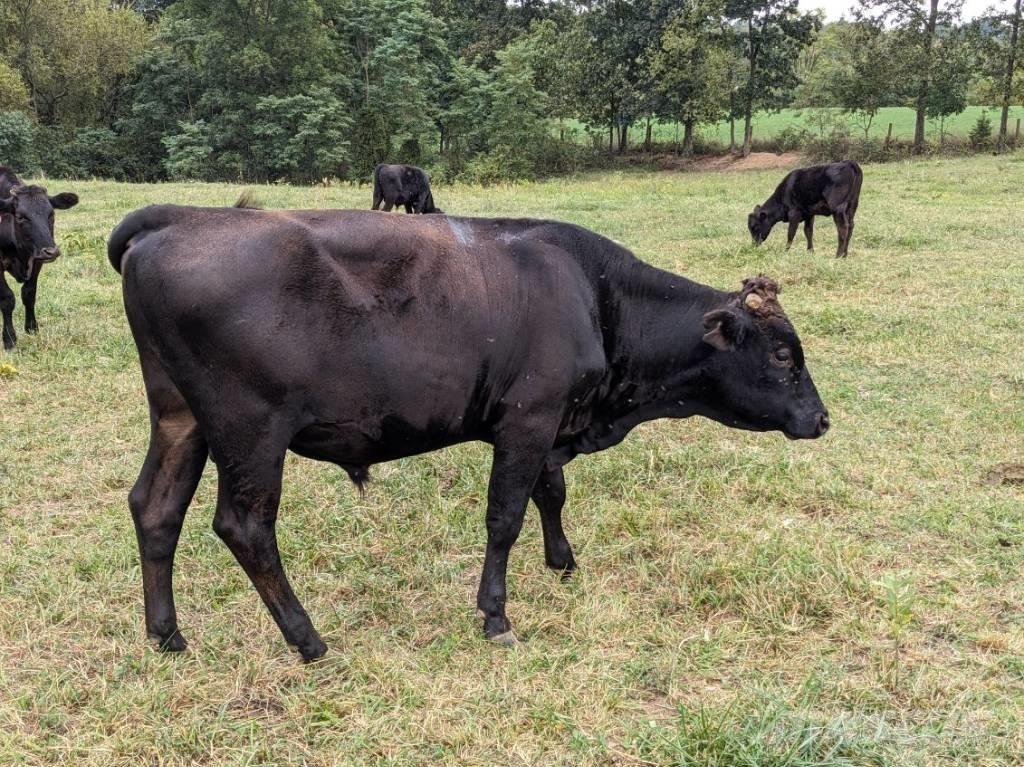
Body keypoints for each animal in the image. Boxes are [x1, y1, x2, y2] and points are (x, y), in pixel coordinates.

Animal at [0, 166, 79, 349]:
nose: (51, 251)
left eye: (52, 214)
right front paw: (9, 338)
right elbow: (7, 299)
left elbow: (29, 294)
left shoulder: (36, 261)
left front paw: (32, 328)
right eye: (20, 216)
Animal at [108, 206, 829, 661]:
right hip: (251, 430)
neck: (593, 296)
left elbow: (551, 492)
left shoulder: (547, 420)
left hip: (181, 417)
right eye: (783, 354)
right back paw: (307, 639)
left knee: (155, 508)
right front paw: (496, 614)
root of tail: (176, 218)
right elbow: (505, 515)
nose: (822, 418)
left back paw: (166, 635)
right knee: (244, 526)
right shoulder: (529, 417)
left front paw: (563, 561)